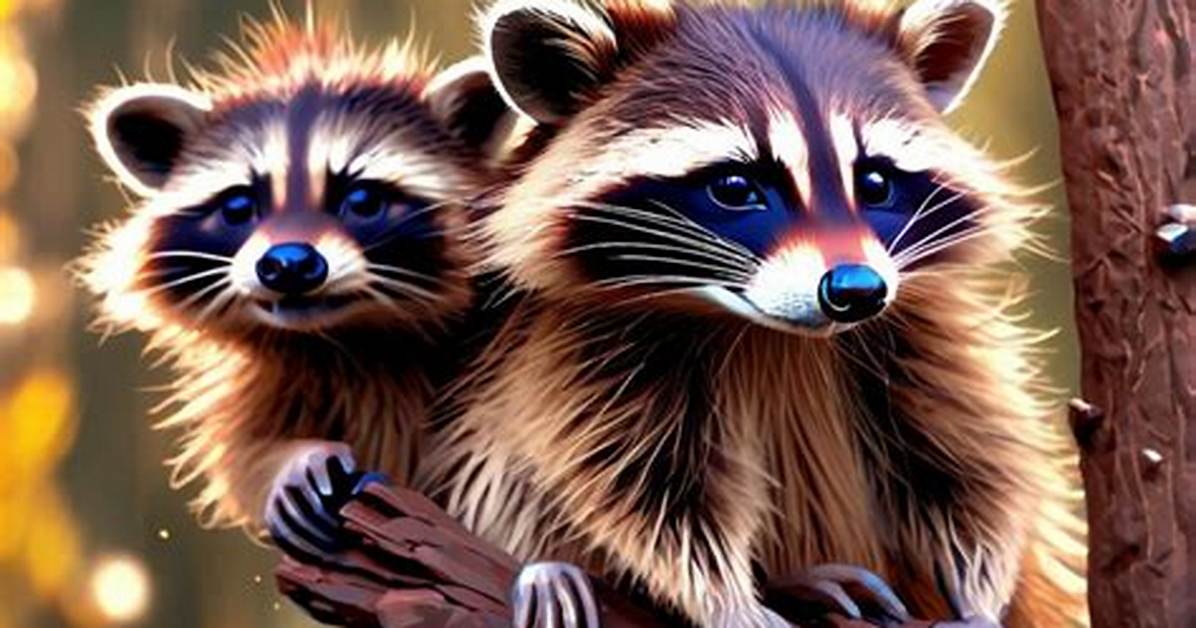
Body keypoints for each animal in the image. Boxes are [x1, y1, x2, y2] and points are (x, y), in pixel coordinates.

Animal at [77, 11, 511, 553]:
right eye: (239, 206)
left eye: (362, 200)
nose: (288, 264)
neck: (352, 339)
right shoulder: (278, 374)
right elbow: (245, 450)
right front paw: (293, 461)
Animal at [417, 0, 1087, 626]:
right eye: (736, 188)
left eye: (874, 183)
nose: (856, 290)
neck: (767, 330)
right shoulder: (579, 346)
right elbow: (643, 483)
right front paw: (726, 599)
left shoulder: (917, 327)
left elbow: (967, 461)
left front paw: (978, 594)